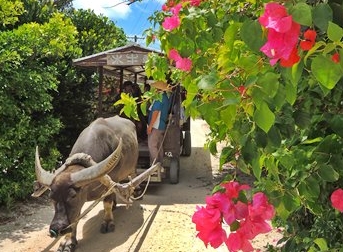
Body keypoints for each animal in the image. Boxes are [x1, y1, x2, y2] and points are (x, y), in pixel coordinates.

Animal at [34, 116, 138, 252]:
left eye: (73, 195)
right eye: (51, 197)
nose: (56, 229)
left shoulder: (110, 182)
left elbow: (107, 203)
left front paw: (108, 222)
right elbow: (75, 218)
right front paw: (68, 241)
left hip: (132, 168)